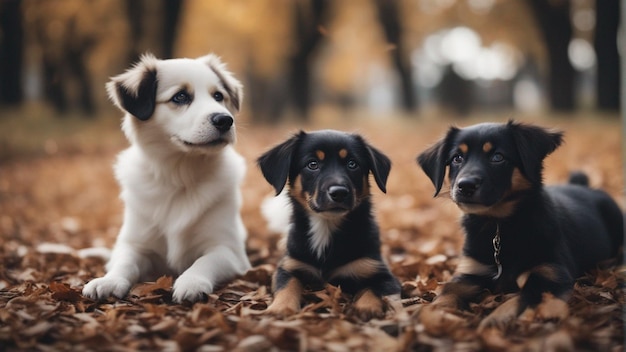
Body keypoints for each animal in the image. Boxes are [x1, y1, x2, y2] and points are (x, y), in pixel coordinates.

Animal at [81, 53, 250, 304]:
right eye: (180, 96)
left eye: (218, 96)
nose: (225, 120)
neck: (180, 175)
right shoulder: (135, 244)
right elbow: (124, 263)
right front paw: (109, 281)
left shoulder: (228, 250)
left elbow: (204, 261)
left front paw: (191, 282)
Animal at [255, 131, 398, 320]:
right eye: (312, 164)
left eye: (352, 164)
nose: (339, 193)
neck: (326, 226)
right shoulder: (288, 266)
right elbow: (287, 285)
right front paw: (280, 307)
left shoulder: (383, 274)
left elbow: (373, 289)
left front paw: (366, 307)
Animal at [414, 120, 620, 330]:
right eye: (457, 158)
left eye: (498, 157)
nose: (466, 185)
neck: (498, 225)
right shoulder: (469, 273)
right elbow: (446, 293)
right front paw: (432, 315)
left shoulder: (550, 275)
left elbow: (519, 300)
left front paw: (494, 320)